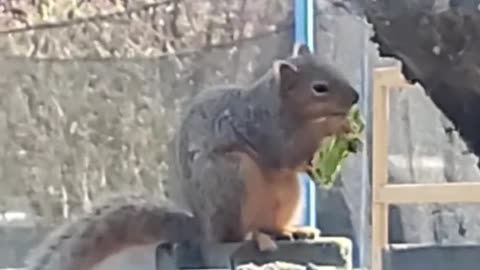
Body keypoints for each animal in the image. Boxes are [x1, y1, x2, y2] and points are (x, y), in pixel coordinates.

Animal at [24, 43, 358, 268]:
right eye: (319, 88)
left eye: (334, 68)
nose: (355, 97)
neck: (278, 104)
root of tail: (202, 228)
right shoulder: (263, 127)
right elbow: (285, 151)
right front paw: (337, 125)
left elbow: (301, 163)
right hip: (231, 176)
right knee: (231, 235)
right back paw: (256, 237)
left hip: (287, 192)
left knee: (272, 224)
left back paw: (292, 231)